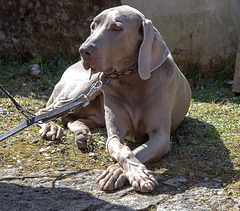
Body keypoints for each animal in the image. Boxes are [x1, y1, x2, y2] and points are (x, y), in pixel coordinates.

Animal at [37, 5, 191, 193]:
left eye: (116, 28)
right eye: (93, 26)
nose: (83, 50)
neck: (131, 78)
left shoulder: (161, 137)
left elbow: (139, 150)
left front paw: (121, 172)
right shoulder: (114, 134)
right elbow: (122, 149)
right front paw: (130, 173)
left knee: (71, 118)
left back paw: (82, 134)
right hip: (88, 85)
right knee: (45, 112)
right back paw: (52, 128)